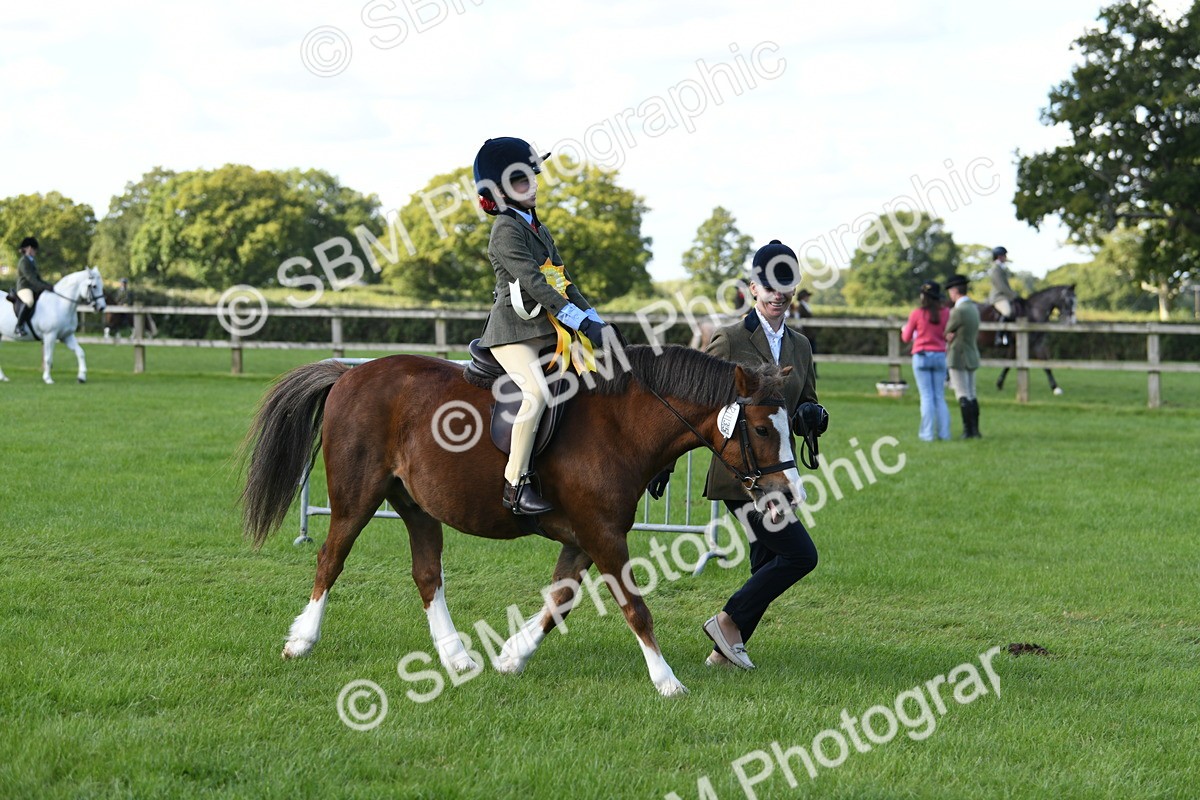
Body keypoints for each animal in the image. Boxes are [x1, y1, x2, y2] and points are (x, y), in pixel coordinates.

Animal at [240, 344, 804, 697]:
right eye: (760, 427)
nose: (787, 495)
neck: (620, 426)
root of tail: (351, 372)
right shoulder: (603, 535)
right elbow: (635, 607)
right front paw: (667, 681)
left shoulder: (584, 536)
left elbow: (560, 602)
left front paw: (512, 655)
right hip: (356, 498)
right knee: (330, 559)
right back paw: (301, 641)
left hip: (417, 506)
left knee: (427, 574)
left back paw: (456, 658)